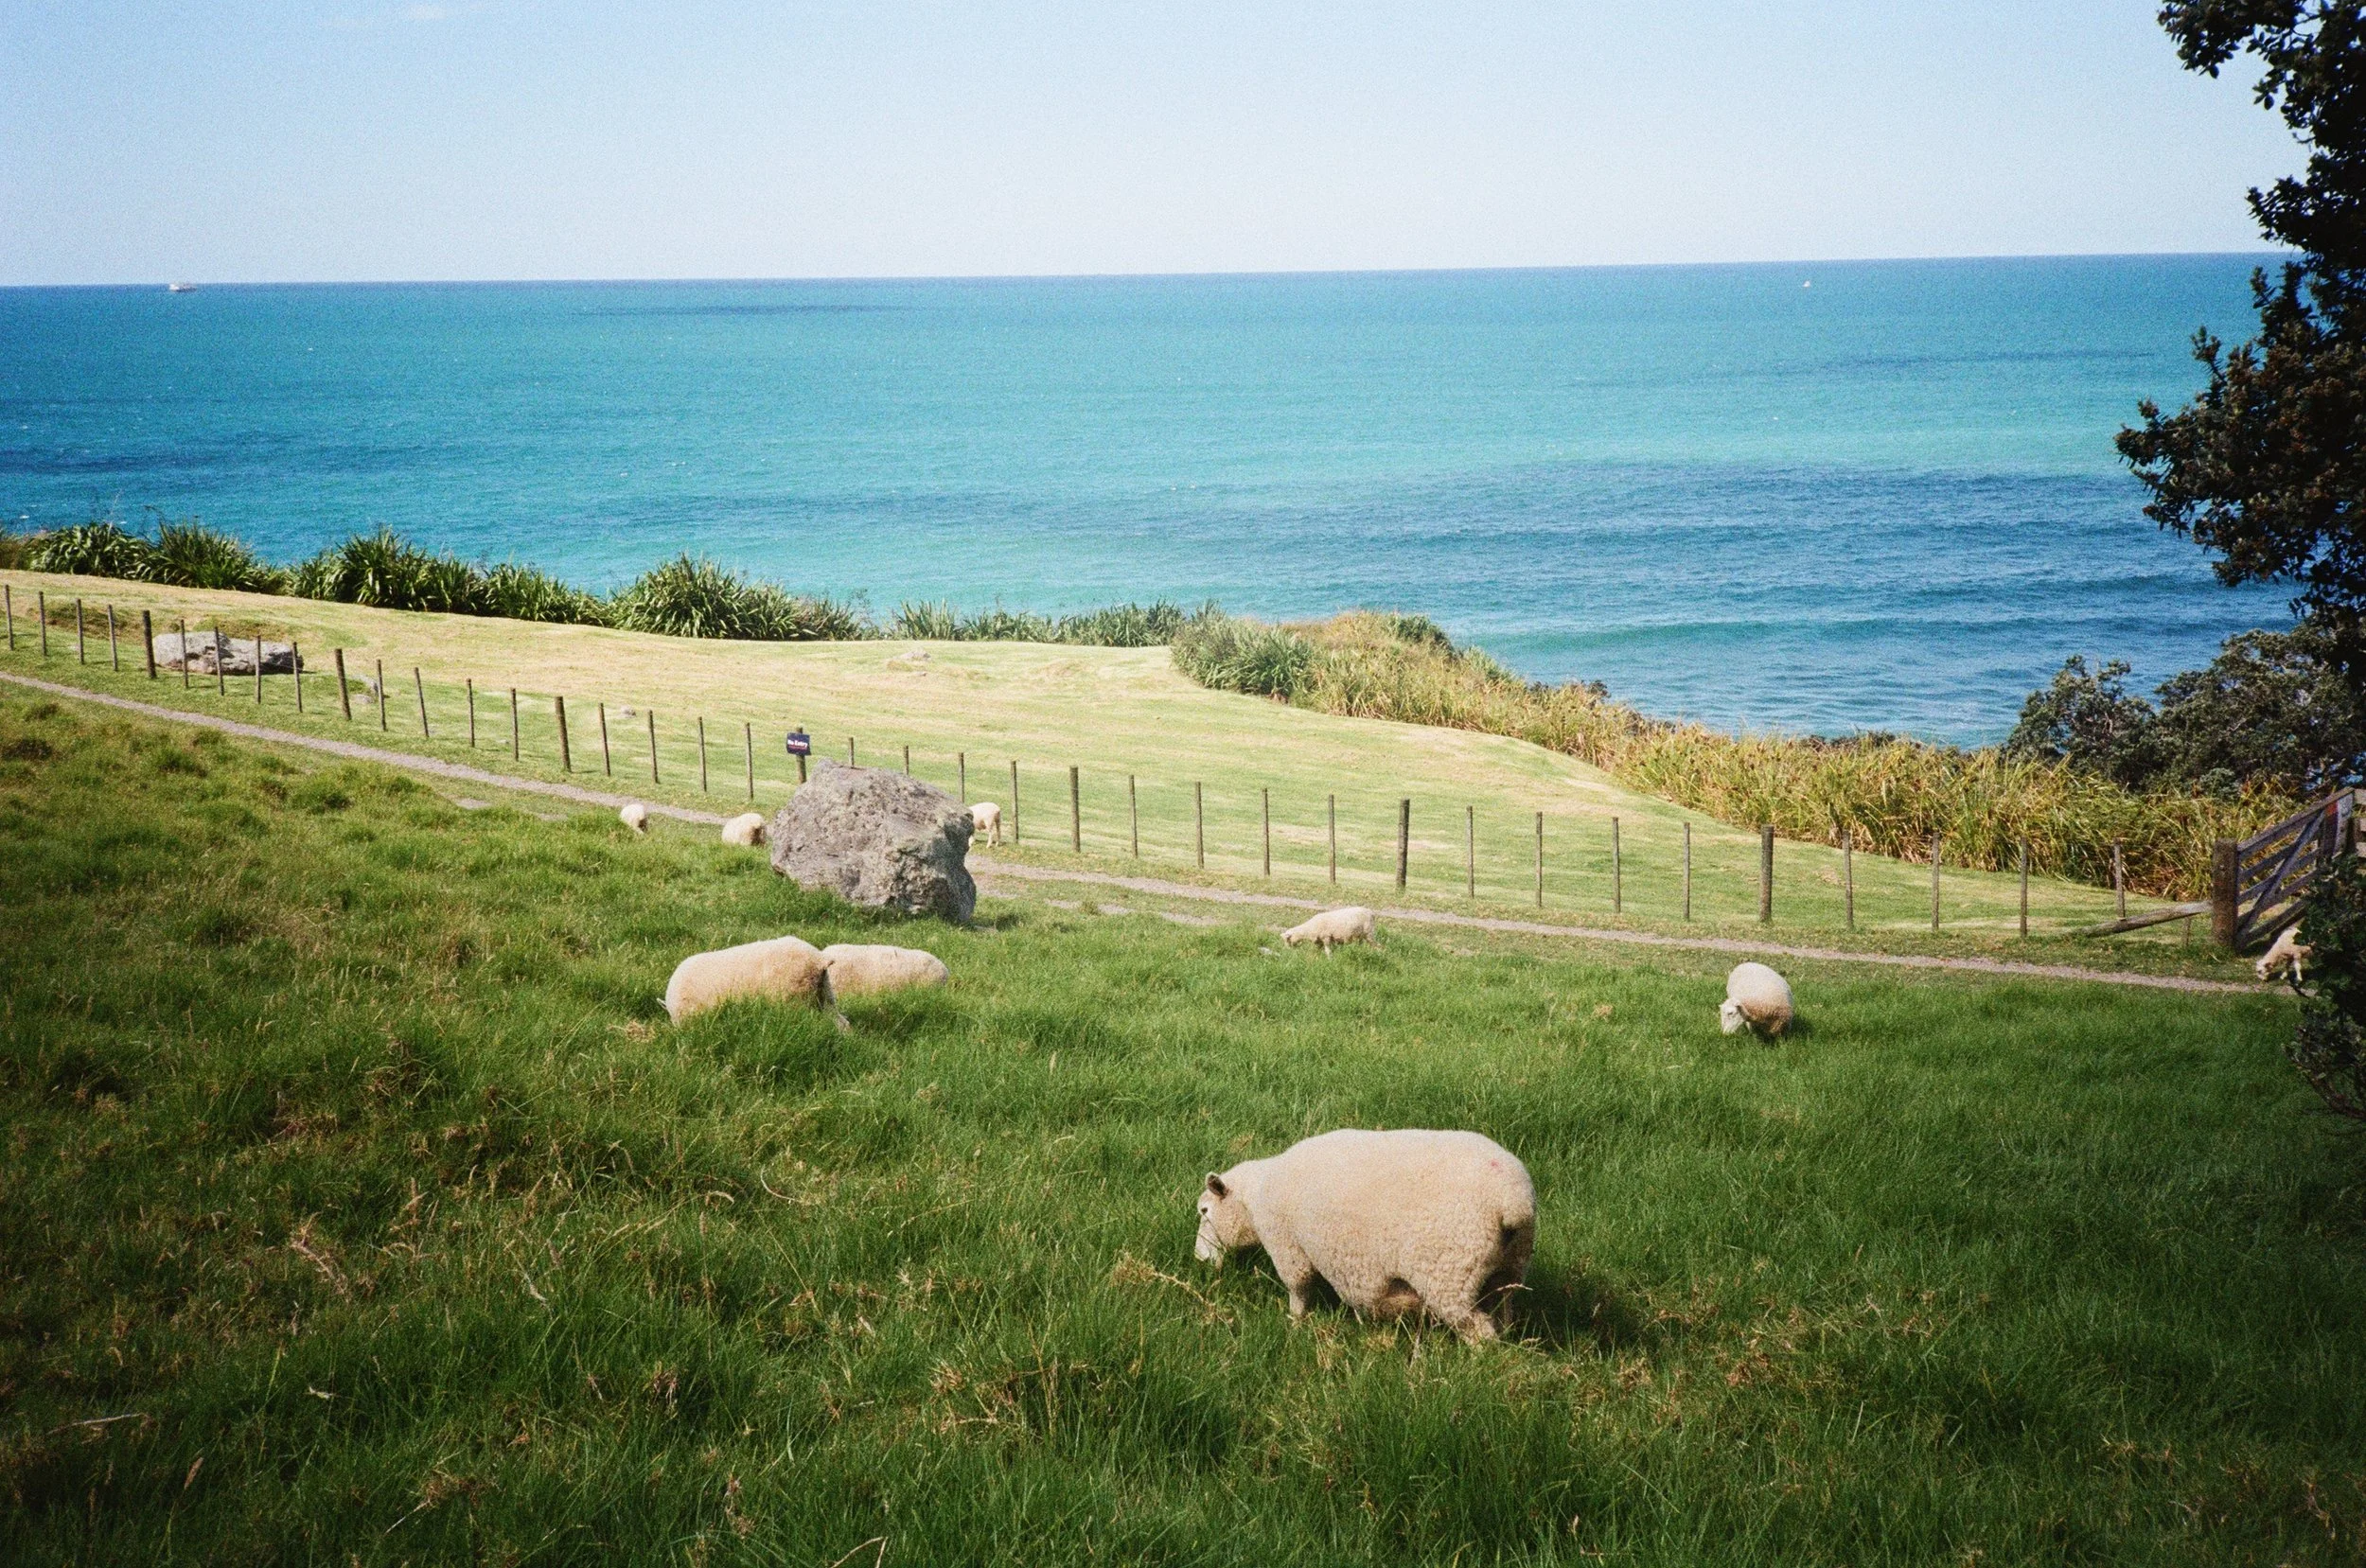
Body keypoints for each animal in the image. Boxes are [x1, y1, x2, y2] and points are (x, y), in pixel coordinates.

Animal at [1195, 1128, 1535, 1344]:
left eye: (1204, 1211)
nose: (1199, 1259)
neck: (1256, 1196)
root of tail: (1513, 1201)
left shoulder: (1286, 1245)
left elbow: (1299, 1287)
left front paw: (1294, 1323)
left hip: (1449, 1273)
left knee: (1479, 1331)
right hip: (1509, 1268)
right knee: (1503, 1313)